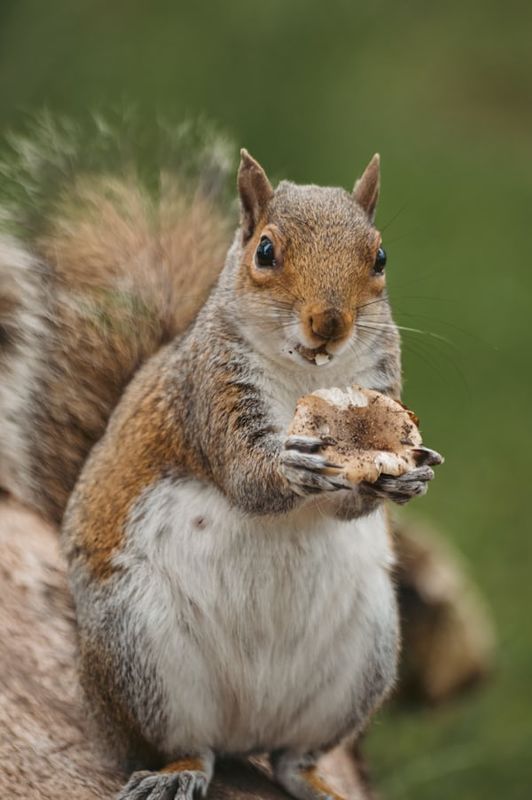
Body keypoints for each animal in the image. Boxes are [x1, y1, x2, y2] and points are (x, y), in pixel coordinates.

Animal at [0, 119, 440, 800]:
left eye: (380, 257)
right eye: (265, 251)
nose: (329, 324)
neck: (307, 375)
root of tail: (244, 729)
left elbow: (353, 503)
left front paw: (410, 476)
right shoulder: (209, 390)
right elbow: (243, 477)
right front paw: (290, 468)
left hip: (363, 658)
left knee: (292, 756)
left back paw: (314, 781)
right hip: (139, 654)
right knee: (183, 746)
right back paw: (175, 772)